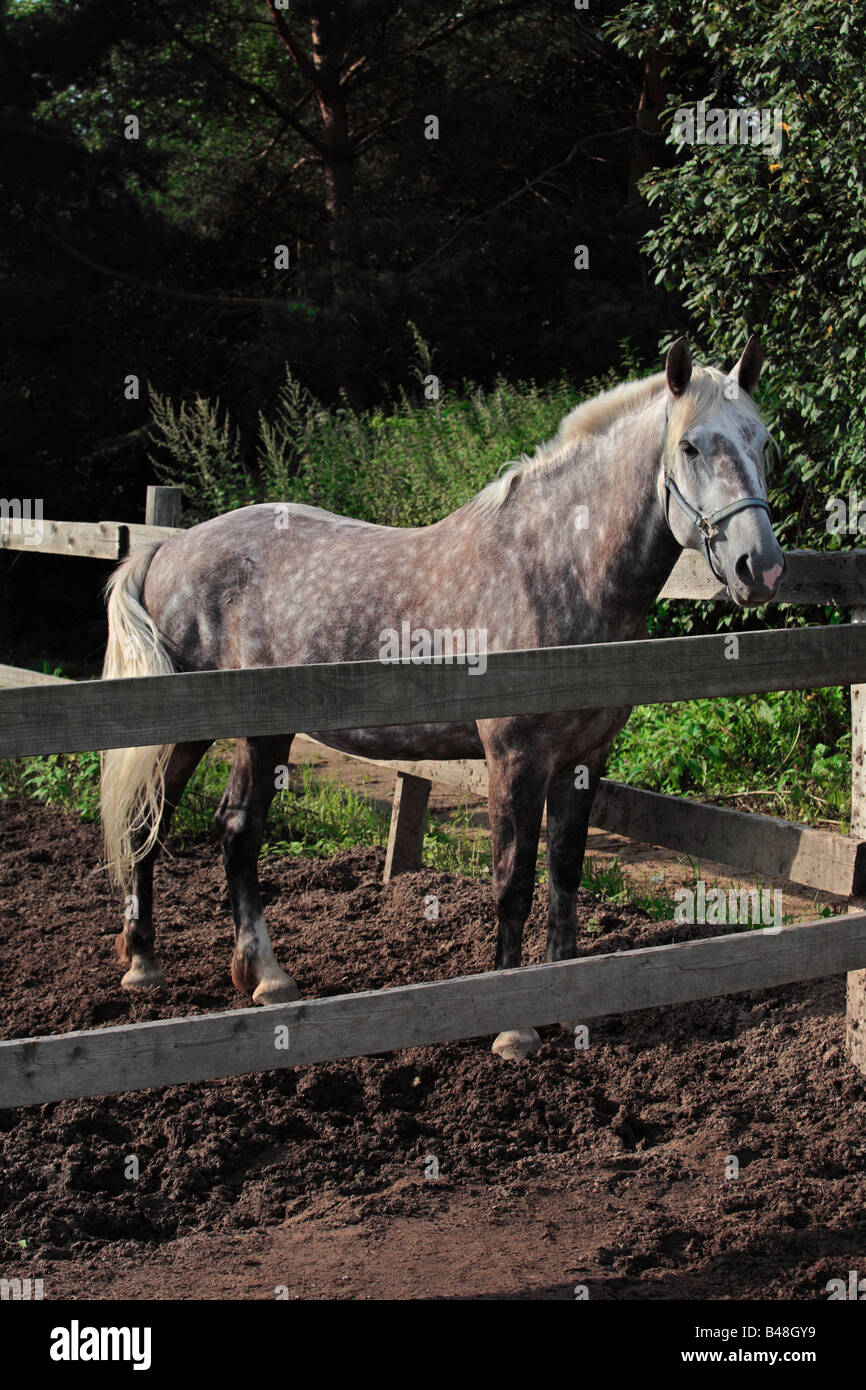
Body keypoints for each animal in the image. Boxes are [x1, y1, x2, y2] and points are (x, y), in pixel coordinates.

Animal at [100, 333, 783, 1050]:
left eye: (763, 442)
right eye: (691, 446)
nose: (760, 567)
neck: (558, 567)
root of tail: (168, 550)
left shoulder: (583, 761)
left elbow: (565, 874)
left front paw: (572, 1007)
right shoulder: (515, 757)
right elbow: (513, 879)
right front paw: (512, 1029)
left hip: (242, 733)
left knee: (191, 824)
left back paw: (208, 968)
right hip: (219, 730)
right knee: (194, 826)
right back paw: (200, 970)